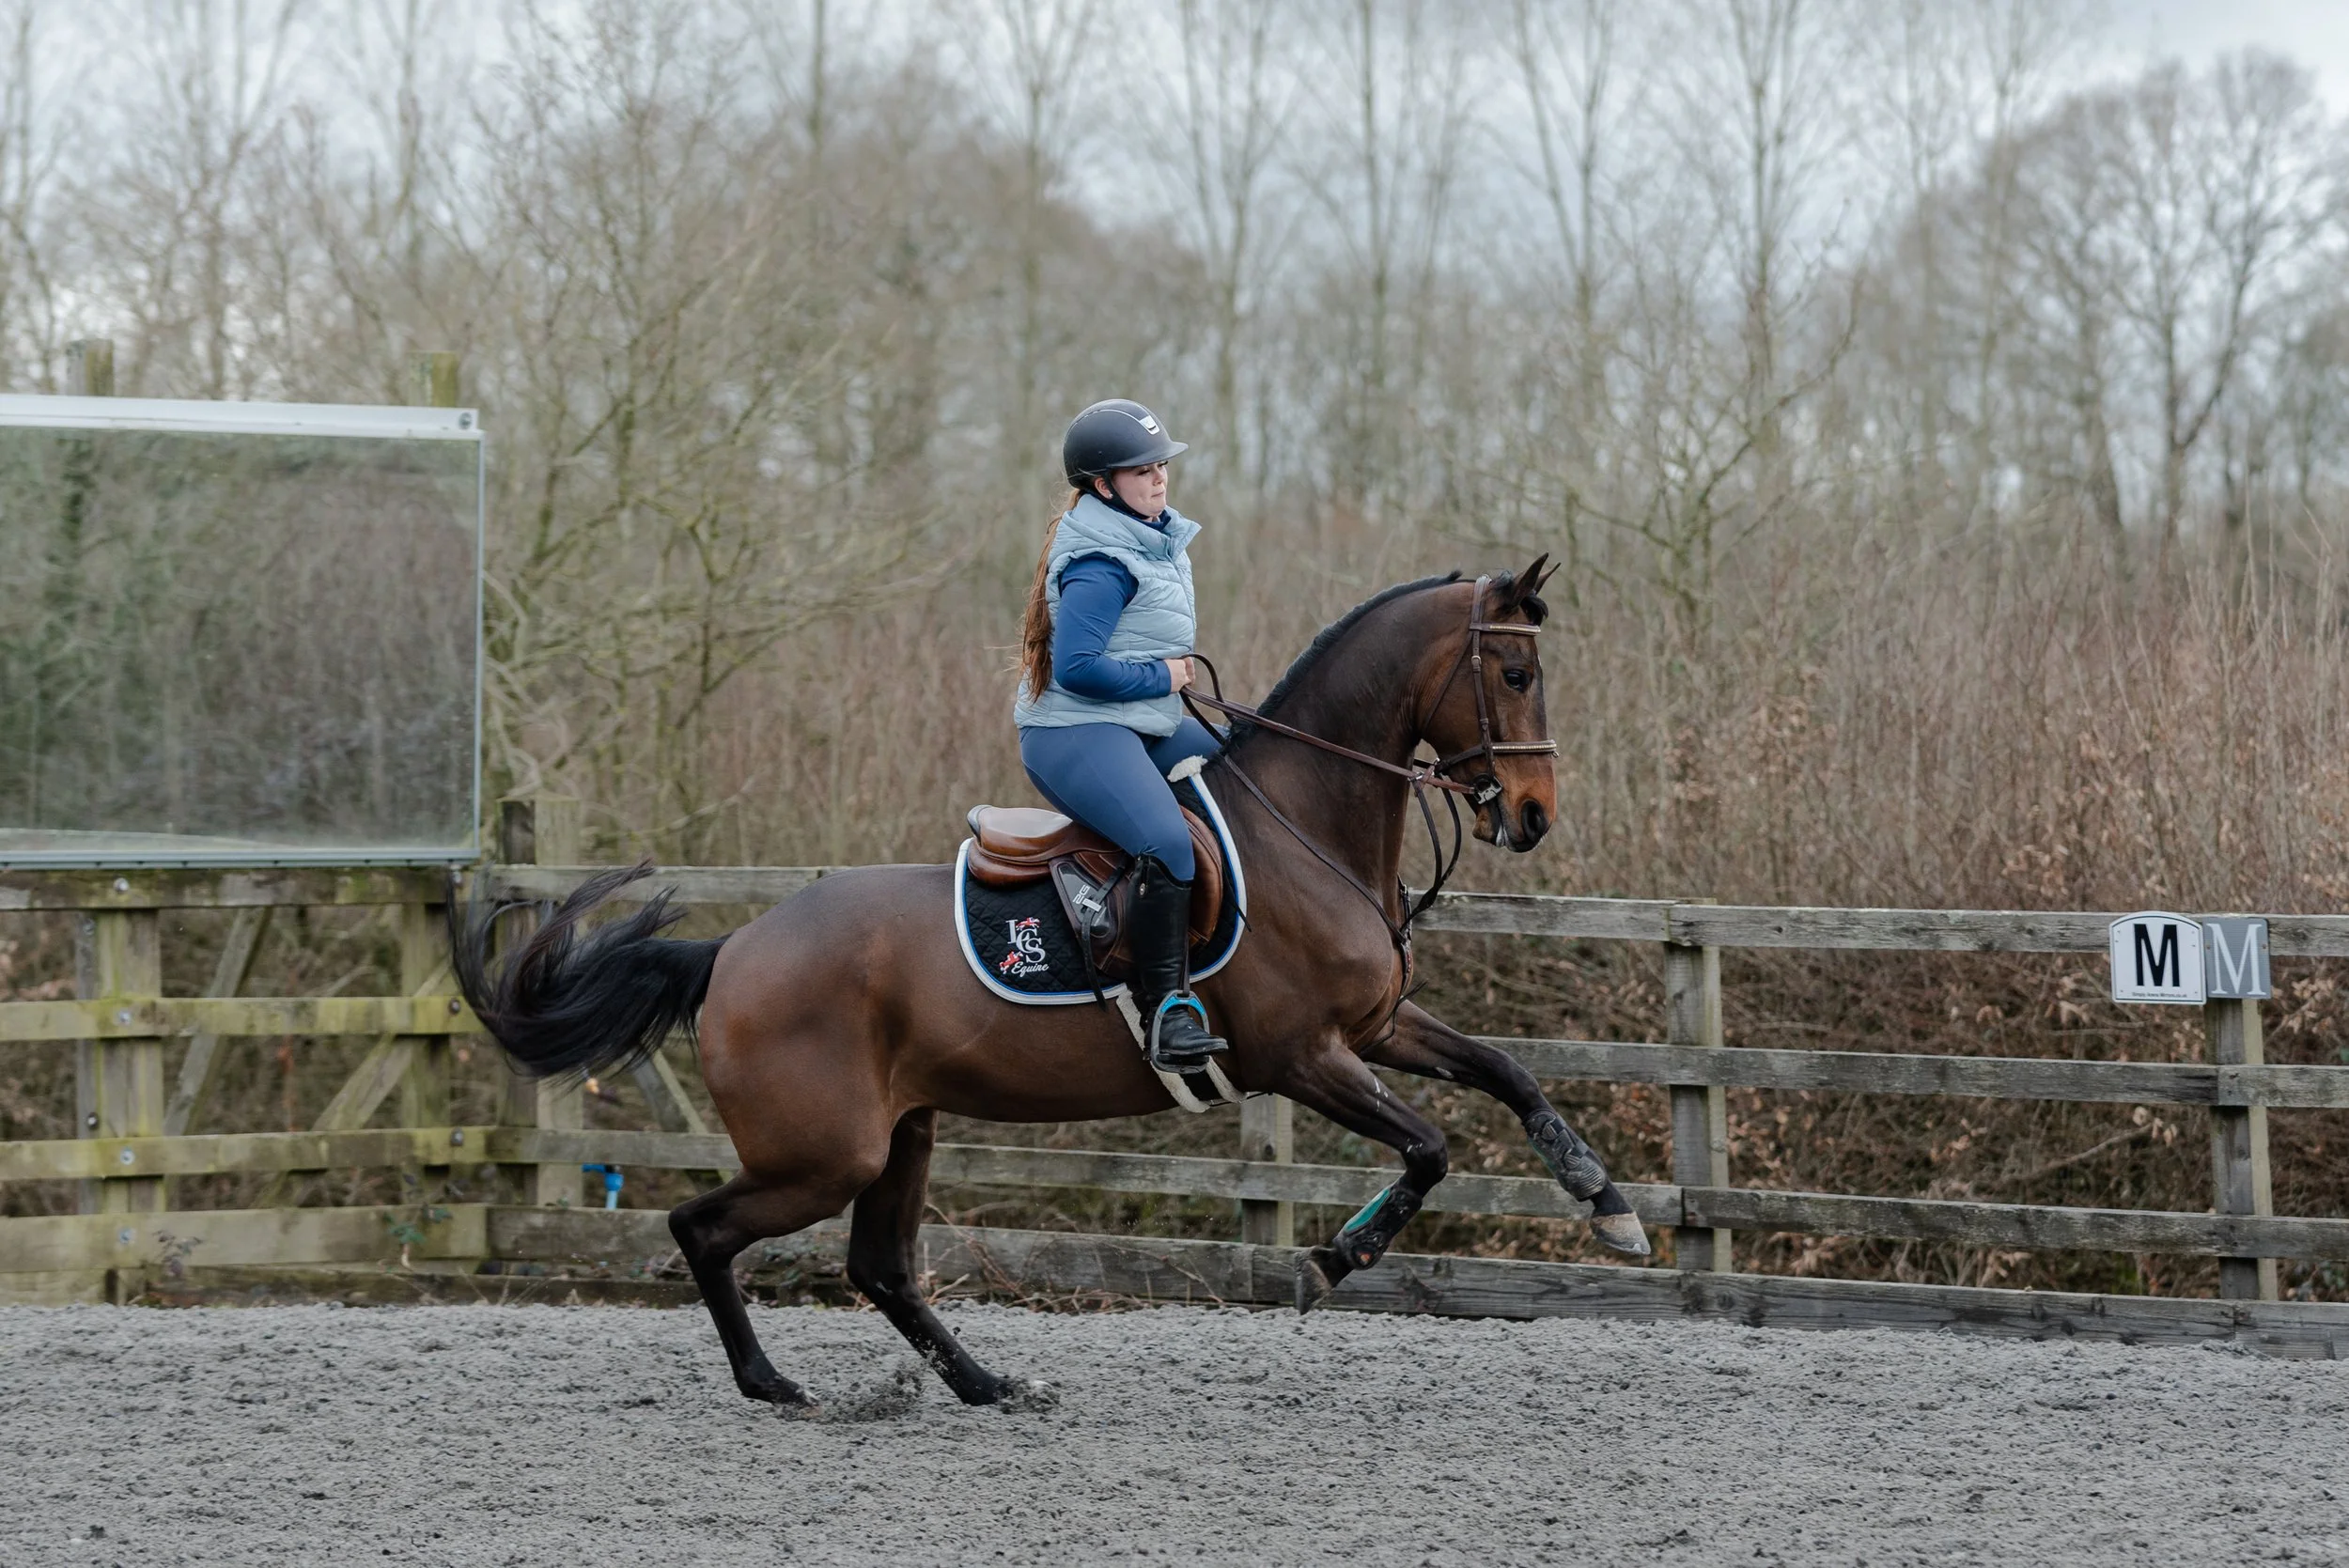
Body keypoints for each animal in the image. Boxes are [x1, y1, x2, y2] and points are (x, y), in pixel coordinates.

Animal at [451, 557, 1649, 1410]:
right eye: (1515, 674)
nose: (1532, 816)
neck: (1305, 824)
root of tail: (730, 952)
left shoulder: (1380, 1025)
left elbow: (1505, 1075)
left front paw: (1610, 1204)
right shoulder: (1304, 1056)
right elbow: (1431, 1146)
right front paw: (1332, 1257)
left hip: (904, 1132)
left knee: (880, 1266)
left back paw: (988, 1384)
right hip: (824, 1153)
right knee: (703, 1229)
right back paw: (773, 1381)